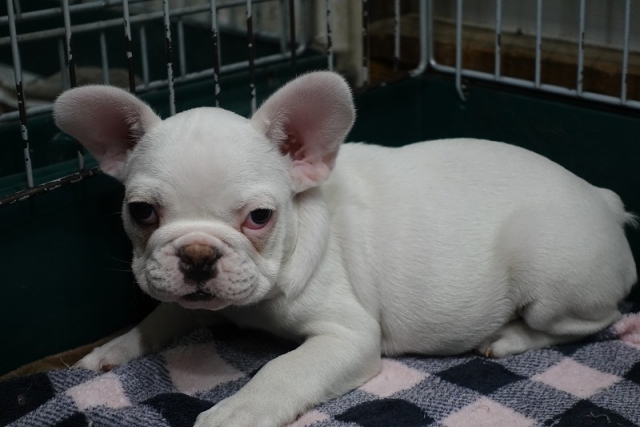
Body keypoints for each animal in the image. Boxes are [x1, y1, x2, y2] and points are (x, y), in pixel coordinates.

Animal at [53, 71, 636, 427]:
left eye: (259, 217)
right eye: (141, 212)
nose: (198, 254)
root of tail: (604, 201)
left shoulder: (350, 336)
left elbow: (283, 370)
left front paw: (238, 410)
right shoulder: (189, 296)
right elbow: (164, 313)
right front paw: (118, 347)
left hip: (546, 269)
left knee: (595, 322)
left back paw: (508, 337)